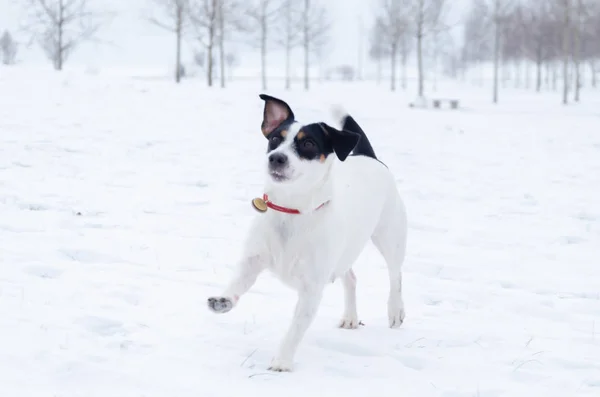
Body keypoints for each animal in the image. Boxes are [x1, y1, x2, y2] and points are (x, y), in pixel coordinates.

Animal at [206, 93, 408, 372]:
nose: (276, 158)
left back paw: (395, 310)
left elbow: (295, 328)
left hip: (389, 236)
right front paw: (224, 300)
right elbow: (237, 282)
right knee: (351, 278)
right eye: (274, 139)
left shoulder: (311, 288)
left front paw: (281, 361)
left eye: (309, 143)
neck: (291, 210)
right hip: (343, 253)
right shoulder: (253, 260)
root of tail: (368, 156)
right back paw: (350, 317)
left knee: (395, 274)